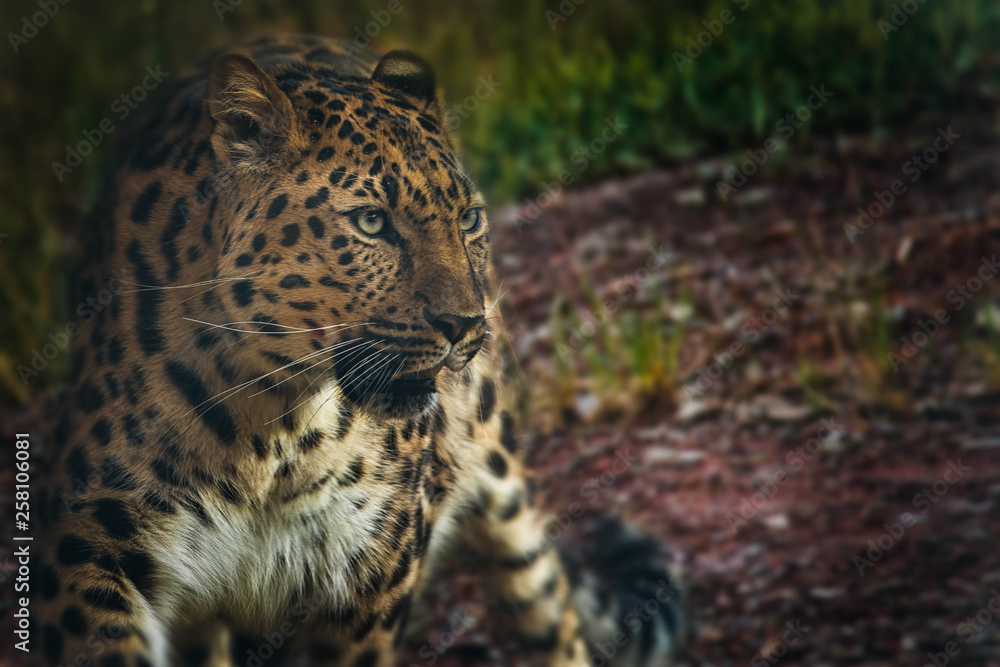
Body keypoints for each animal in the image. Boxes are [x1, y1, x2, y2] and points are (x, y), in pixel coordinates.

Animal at [26, 33, 685, 667]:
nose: (465, 323)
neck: (271, 428)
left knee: (551, 609)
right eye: (371, 222)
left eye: (468, 218)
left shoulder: (377, 567)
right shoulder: (89, 542)